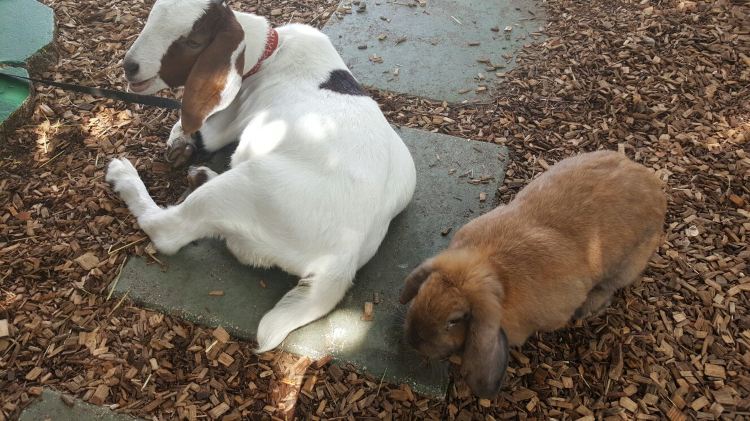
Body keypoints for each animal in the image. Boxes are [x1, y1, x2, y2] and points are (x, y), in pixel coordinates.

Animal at [106, 0, 416, 352]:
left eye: (193, 42)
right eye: (151, 16)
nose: (130, 66)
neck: (269, 52)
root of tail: (342, 262)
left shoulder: (224, 122)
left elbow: (196, 129)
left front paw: (179, 142)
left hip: (246, 184)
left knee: (167, 230)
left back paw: (125, 176)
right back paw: (200, 174)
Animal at [398, 150, 667, 398]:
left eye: (454, 321)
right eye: (422, 291)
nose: (411, 340)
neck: (493, 269)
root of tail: (655, 186)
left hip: (626, 266)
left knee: (609, 288)